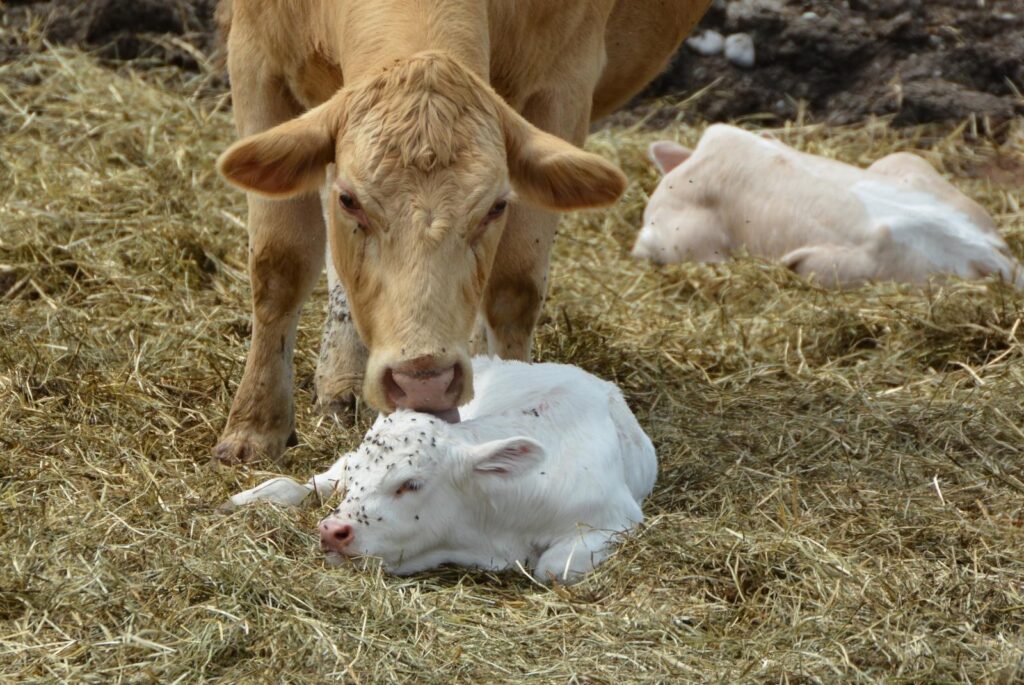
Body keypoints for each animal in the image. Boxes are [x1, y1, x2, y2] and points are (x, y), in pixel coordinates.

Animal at [212, 0, 712, 463]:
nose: (424, 381)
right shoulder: (256, 60)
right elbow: (280, 265)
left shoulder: (563, 85)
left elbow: (514, 288)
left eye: (496, 206)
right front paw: (256, 425)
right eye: (350, 200)